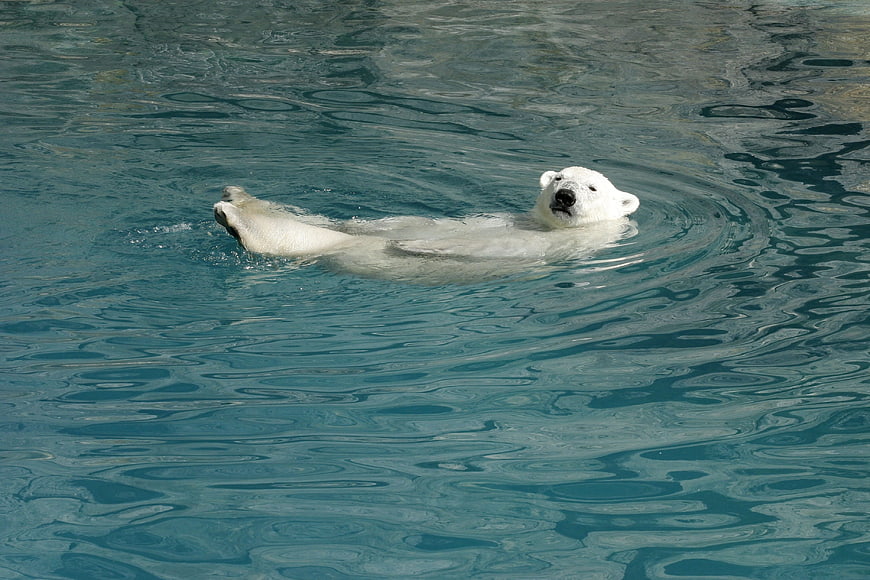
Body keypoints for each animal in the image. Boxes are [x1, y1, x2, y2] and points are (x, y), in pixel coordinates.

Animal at [213, 166, 639, 283]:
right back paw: (236, 197)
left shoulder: (561, 246)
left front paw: (418, 246)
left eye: (592, 187)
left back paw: (235, 218)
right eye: (558, 178)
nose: (565, 196)